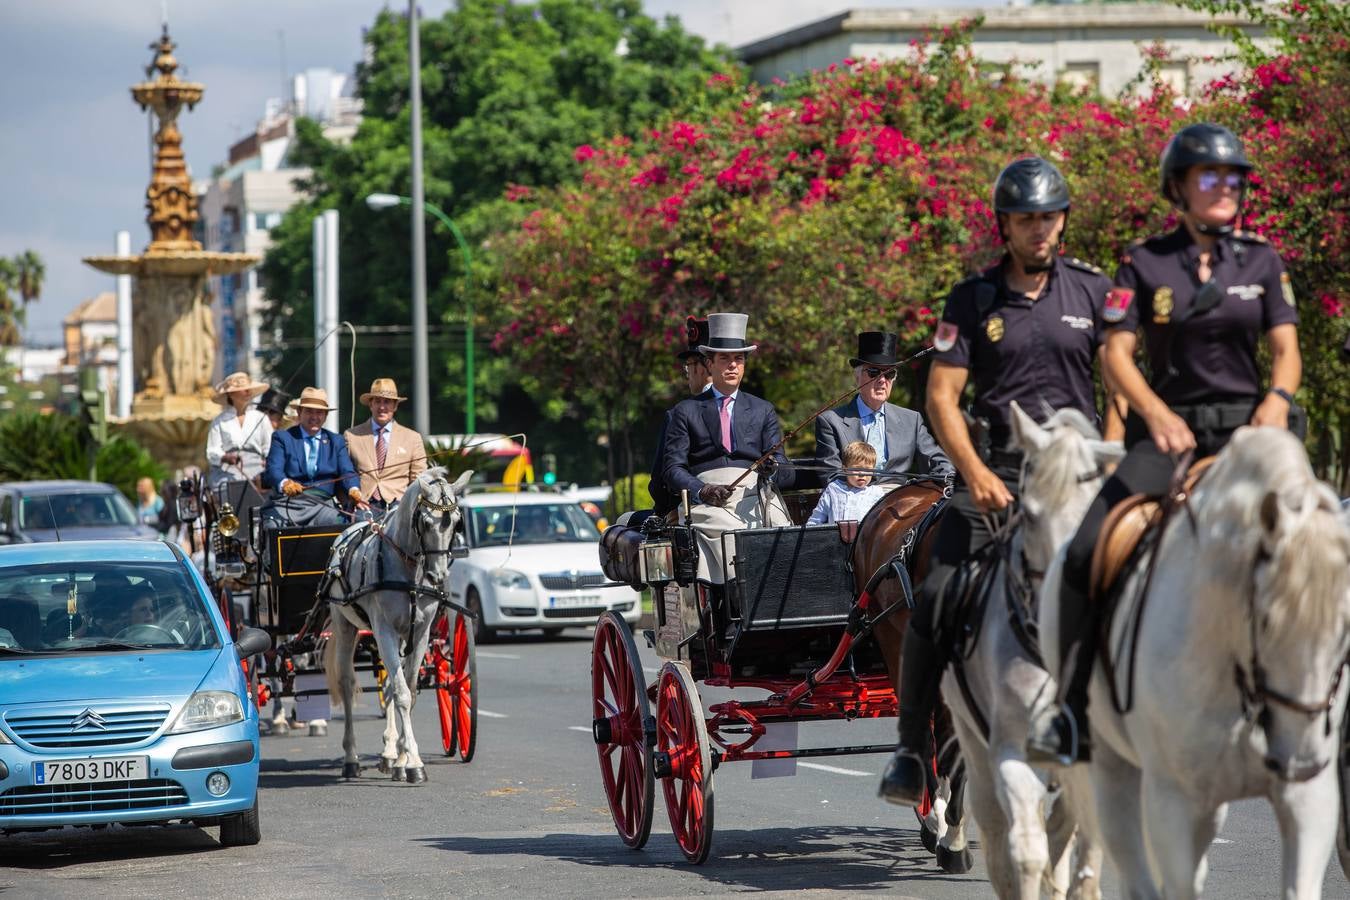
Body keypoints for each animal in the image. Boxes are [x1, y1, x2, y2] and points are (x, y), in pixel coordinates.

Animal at [324, 469, 472, 782]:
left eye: (456, 522)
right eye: (425, 522)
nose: (438, 576)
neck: (409, 572)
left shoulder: (420, 632)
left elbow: (409, 690)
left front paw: (402, 758)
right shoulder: (385, 631)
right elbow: (403, 694)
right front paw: (414, 762)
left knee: (391, 683)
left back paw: (390, 754)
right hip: (345, 625)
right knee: (347, 683)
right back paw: (351, 758)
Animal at [939, 407, 1117, 900]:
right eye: (1031, 517)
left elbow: (1082, 843)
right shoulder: (1010, 753)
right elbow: (1027, 850)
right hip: (972, 741)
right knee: (995, 827)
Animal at [1042, 429, 1350, 900]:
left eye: (1346, 626)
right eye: (1265, 620)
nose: (1299, 763)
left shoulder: (1309, 800)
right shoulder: (1173, 803)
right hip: (1110, 771)